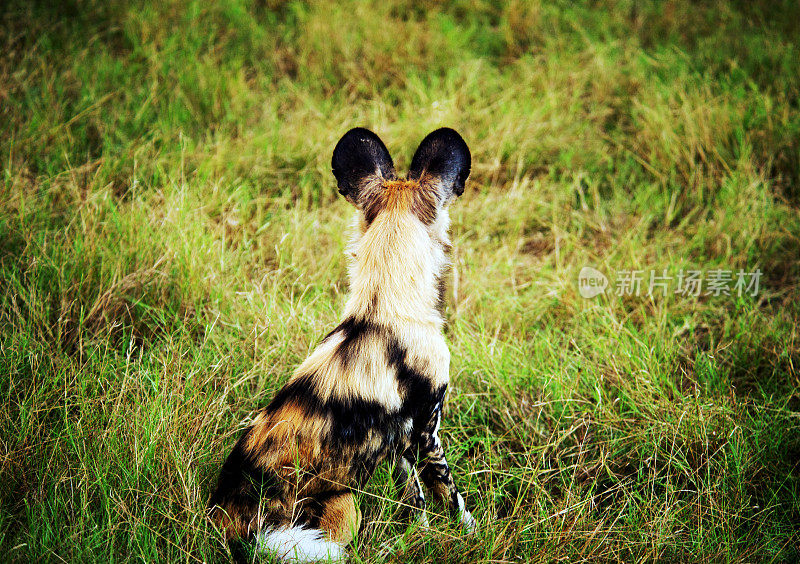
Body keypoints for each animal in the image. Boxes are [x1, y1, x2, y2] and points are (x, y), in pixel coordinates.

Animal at [209, 129, 478, 564]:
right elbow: (448, 493)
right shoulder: (427, 430)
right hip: (343, 508)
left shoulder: (399, 441)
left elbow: (415, 500)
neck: (383, 306)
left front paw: (419, 534)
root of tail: (229, 526)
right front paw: (470, 530)